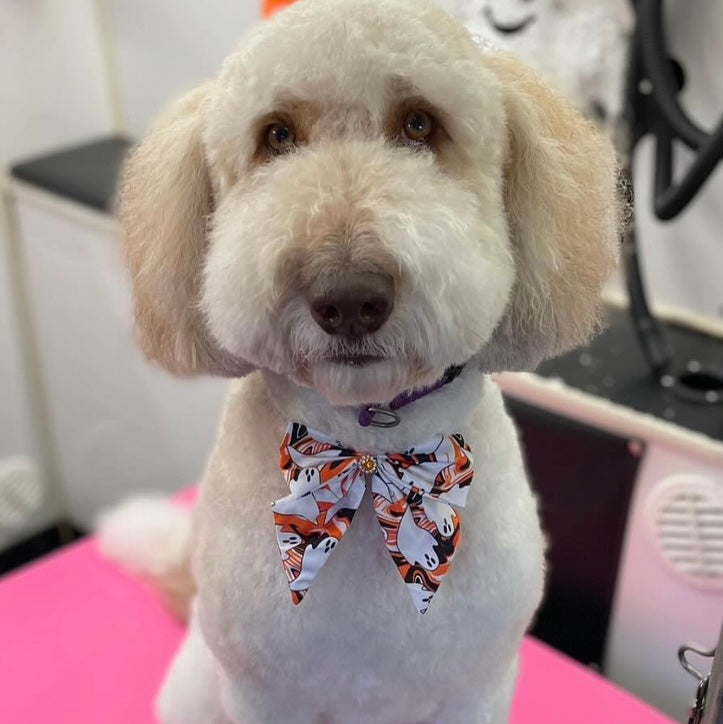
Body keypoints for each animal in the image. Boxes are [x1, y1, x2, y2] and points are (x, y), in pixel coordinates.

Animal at [100, 2, 624, 720]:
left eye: (420, 123)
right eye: (276, 135)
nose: (348, 298)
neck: (368, 452)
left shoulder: (477, 687)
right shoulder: (264, 693)